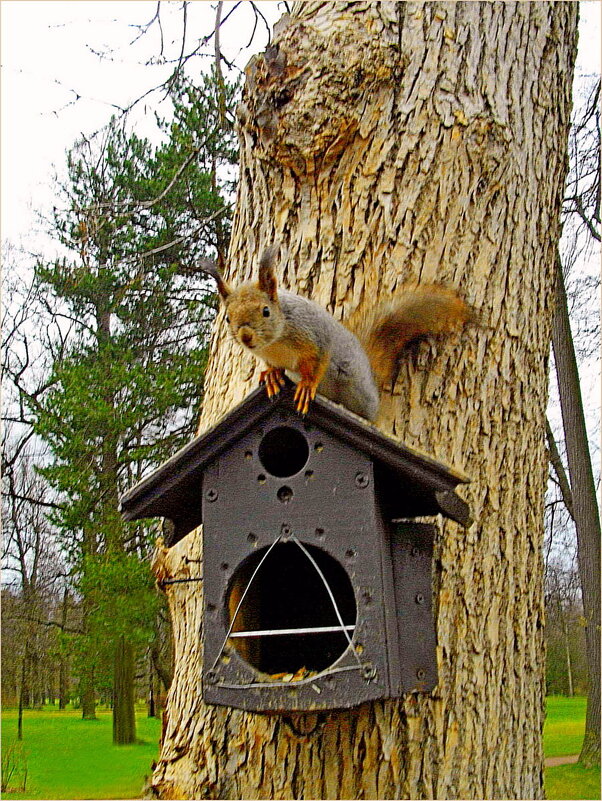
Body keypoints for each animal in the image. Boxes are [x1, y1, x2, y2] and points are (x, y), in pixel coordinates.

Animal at [200, 245, 474, 422]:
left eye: (265, 311)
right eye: (227, 317)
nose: (246, 337)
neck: (275, 343)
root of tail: (369, 370)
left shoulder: (315, 337)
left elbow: (317, 363)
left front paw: (306, 386)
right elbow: (272, 367)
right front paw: (272, 376)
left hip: (355, 386)